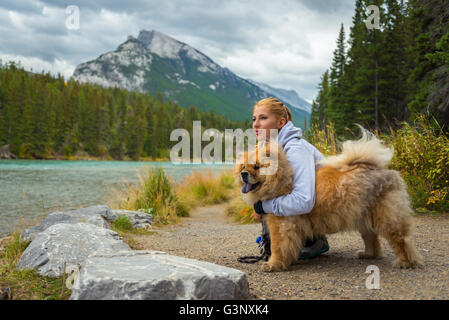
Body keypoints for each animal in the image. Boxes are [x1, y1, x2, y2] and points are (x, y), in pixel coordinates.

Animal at [236, 127, 422, 272]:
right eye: (244, 166)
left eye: (257, 167)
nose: (243, 174)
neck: (282, 178)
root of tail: (382, 170)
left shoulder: (281, 224)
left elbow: (278, 247)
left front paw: (273, 264)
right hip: (363, 217)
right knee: (372, 239)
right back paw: (368, 254)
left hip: (387, 218)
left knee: (401, 239)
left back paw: (406, 262)